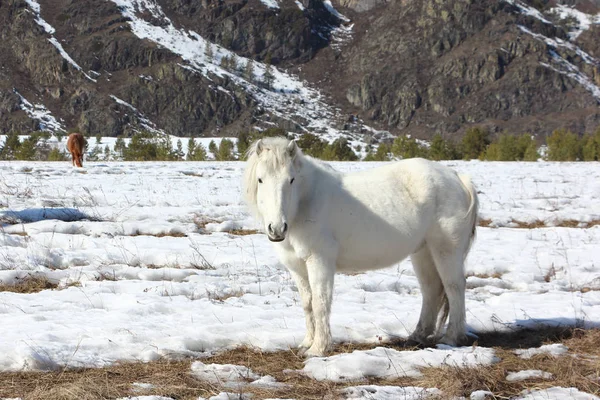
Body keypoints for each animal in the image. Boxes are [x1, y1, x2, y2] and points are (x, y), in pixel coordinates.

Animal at [244, 137, 478, 356]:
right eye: (261, 179)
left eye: (291, 180)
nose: (277, 228)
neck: (305, 203)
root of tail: (458, 178)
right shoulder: (297, 267)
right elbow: (308, 304)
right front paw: (306, 343)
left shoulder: (320, 261)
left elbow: (320, 303)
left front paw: (318, 348)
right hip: (423, 252)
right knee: (431, 289)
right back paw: (417, 335)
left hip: (446, 250)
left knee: (454, 287)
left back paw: (451, 338)